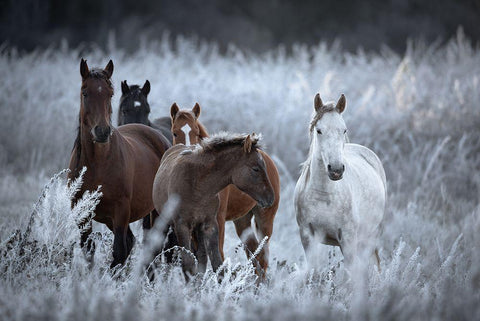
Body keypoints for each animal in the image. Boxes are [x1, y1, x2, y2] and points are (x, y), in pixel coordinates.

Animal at [68, 59, 171, 268]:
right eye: (85, 92)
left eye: (110, 93)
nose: (102, 131)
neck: (97, 164)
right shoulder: (83, 215)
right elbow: (89, 251)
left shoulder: (121, 213)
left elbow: (118, 253)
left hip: (156, 212)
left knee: (154, 247)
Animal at [152, 132, 276, 278]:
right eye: (256, 169)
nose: (270, 198)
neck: (198, 185)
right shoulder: (182, 226)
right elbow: (188, 264)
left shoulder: (209, 225)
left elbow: (217, 264)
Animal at [170, 102, 280, 276]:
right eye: (175, 132)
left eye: (196, 131)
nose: (187, 150)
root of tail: (270, 161)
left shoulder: (217, 220)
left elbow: (218, 255)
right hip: (242, 220)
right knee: (254, 254)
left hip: (265, 219)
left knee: (263, 257)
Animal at [292, 92, 386, 268]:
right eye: (319, 130)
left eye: (344, 130)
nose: (336, 170)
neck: (323, 195)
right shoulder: (307, 237)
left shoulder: (348, 240)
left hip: (370, 237)